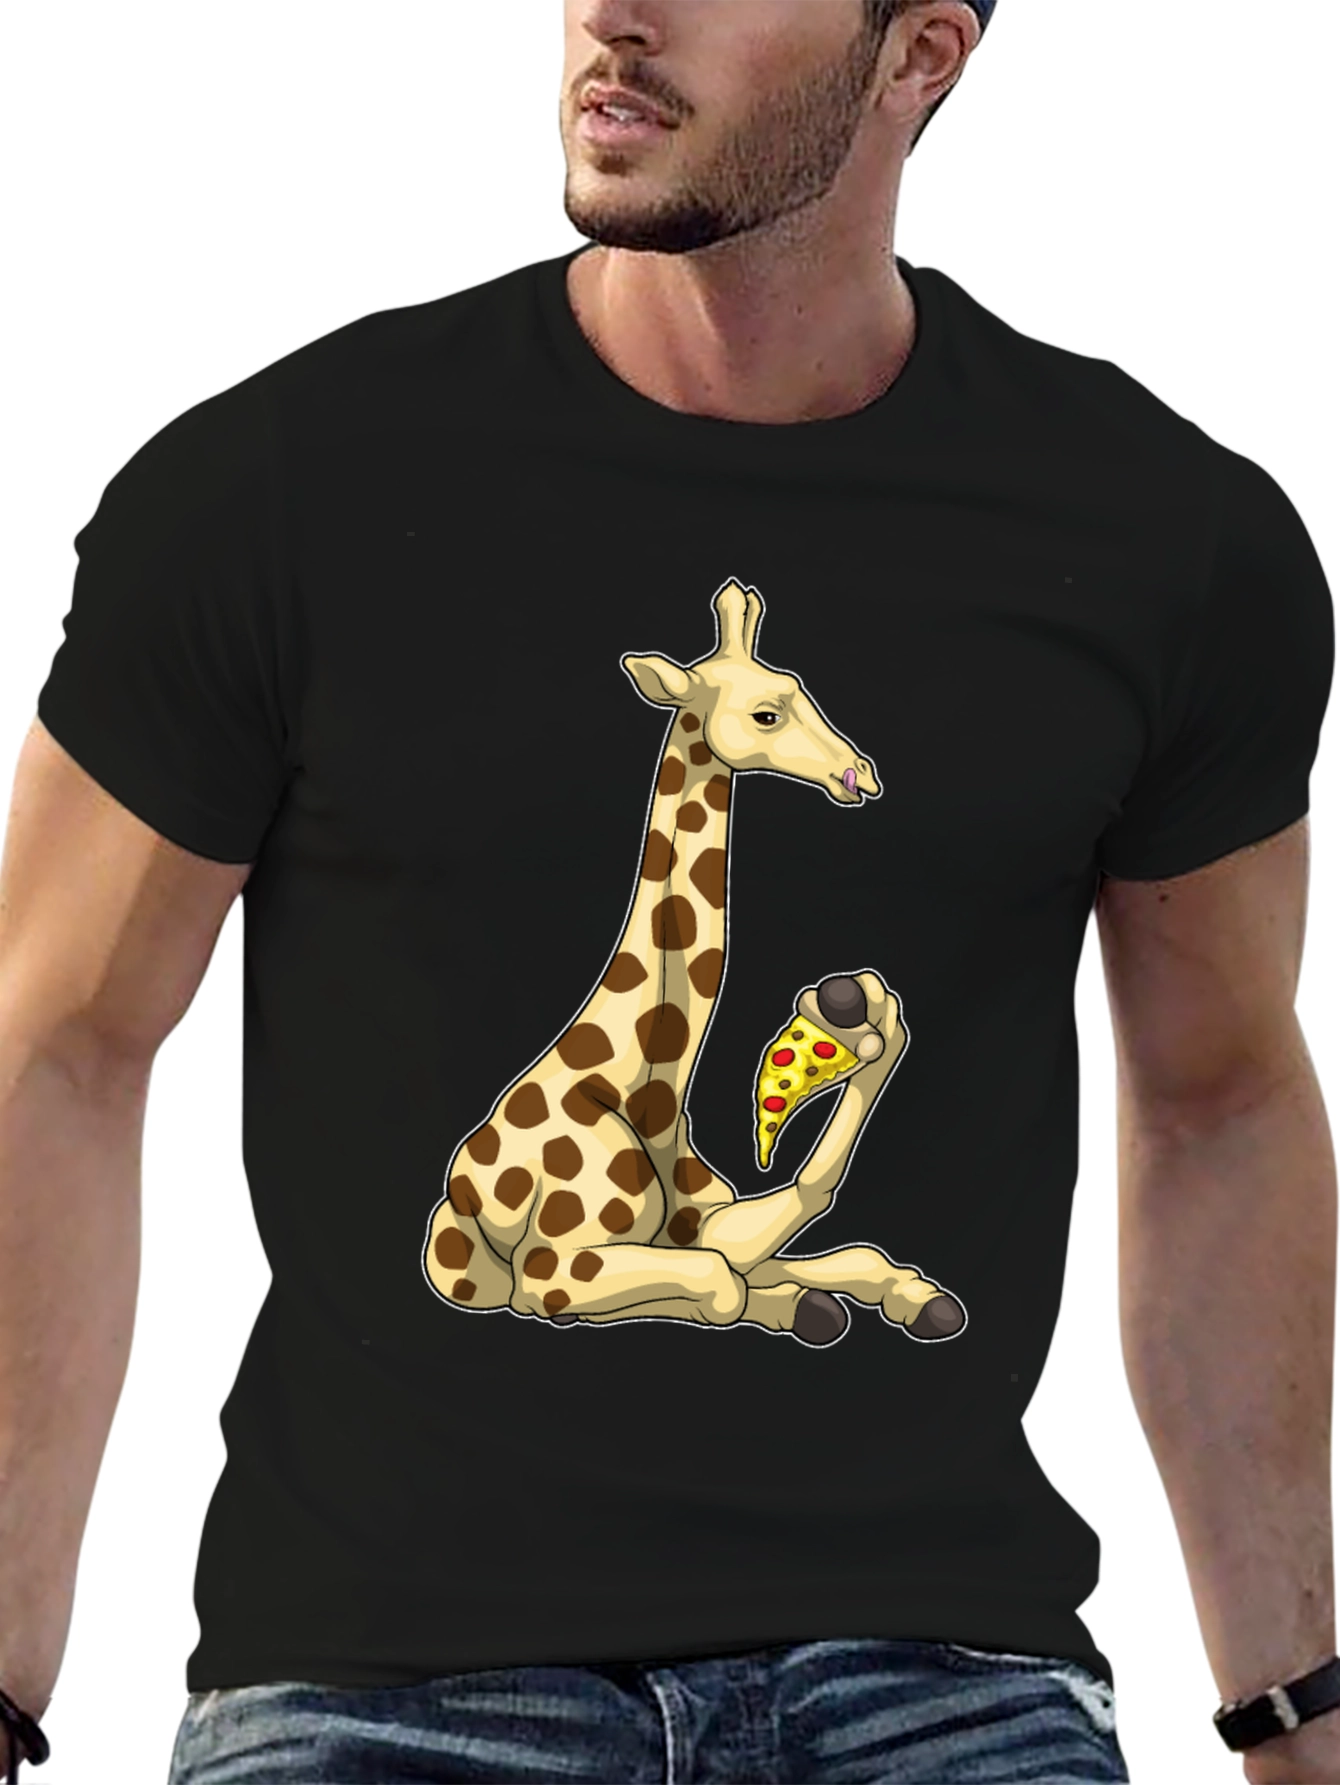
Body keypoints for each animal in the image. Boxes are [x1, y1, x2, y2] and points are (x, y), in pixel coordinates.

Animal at [422, 579, 966, 1346]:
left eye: (800, 688)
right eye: (765, 713)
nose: (857, 774)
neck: (647, 1087)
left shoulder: (700, 1219)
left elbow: (801, 1220)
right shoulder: (557, 1261)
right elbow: (718, 1284)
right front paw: (799, 1305)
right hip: (474, 1270)